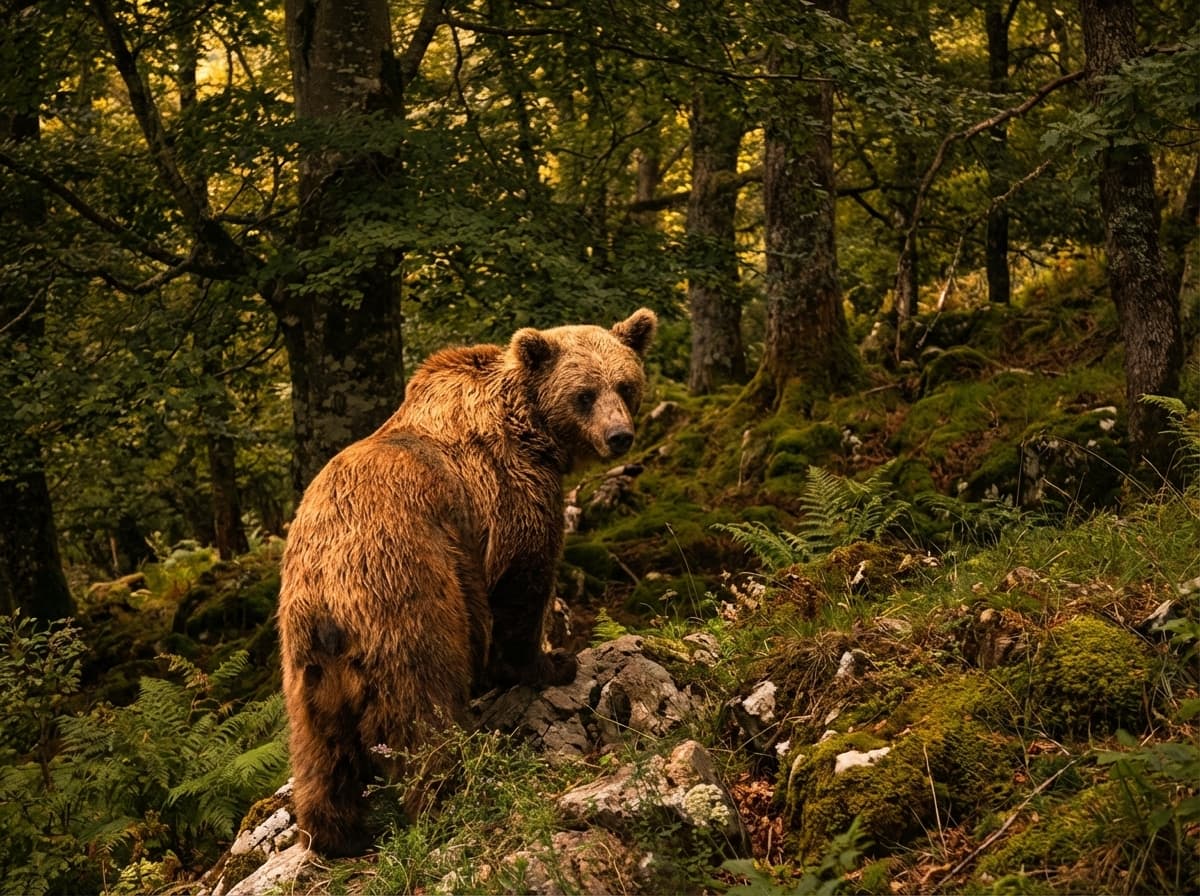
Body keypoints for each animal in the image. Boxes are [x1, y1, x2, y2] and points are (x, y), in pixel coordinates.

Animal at [277, 308, 657, 857]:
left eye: (625, 385)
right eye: (584, 394)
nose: (619, 436)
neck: (532, 430)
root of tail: (328, 596)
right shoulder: (510, 494)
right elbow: (523, 586)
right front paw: (551, 663)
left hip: (305, 663)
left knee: (319, 750)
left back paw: (333, 836)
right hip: (408, 593)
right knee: (425, 707)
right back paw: (453, 791)